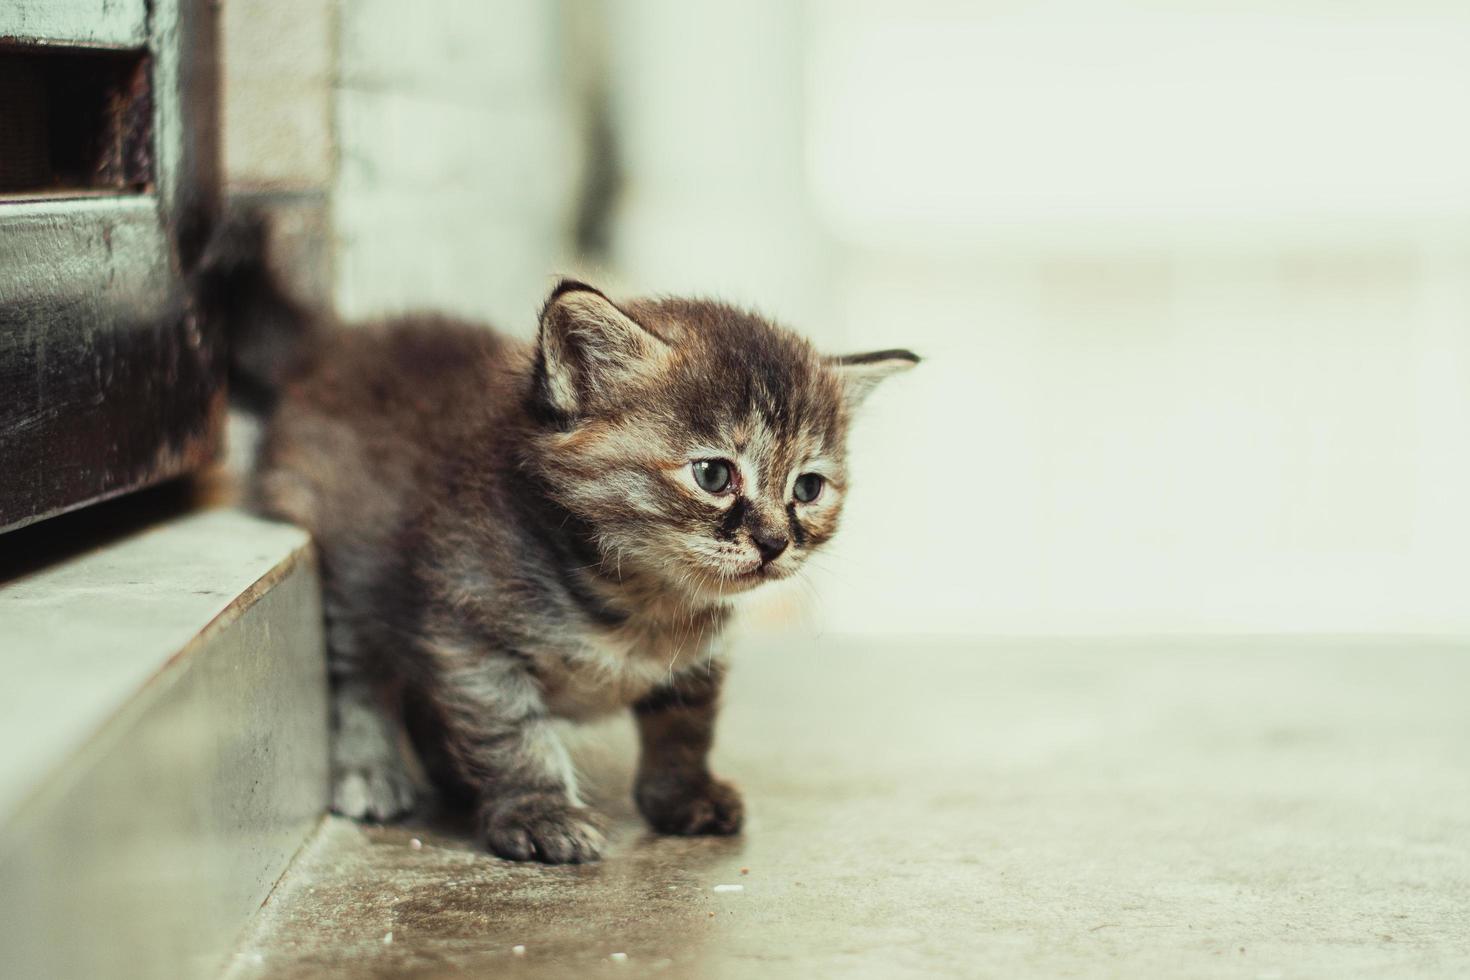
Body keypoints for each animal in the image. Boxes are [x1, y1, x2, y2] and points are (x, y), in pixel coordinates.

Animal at [213, 233, 911, 863]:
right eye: (714, 475)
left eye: (808, 488)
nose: (773, 541)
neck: (642, 601)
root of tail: (333, 343)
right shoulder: (470, 637)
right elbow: (514, 736)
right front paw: (539, 813)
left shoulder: (698, 657)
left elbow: (685, 726)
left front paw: (682, 797)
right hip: (349, 574)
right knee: (359, 677)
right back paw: (371, 773)